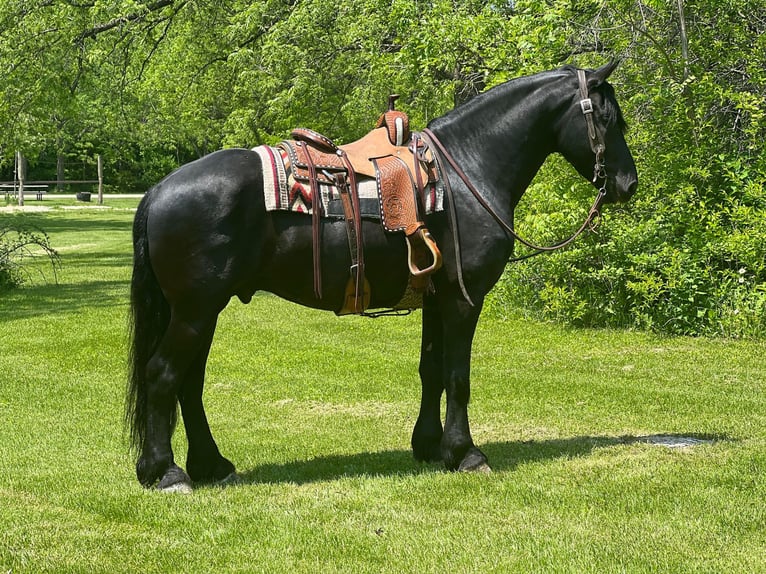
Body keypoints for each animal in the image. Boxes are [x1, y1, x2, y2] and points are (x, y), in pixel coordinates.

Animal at [129, 64, 640, 496]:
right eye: (609, 118)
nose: (628, 184)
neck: (467, 171)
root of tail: (158, 189)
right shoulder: (463, 298)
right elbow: (458, 376)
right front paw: (465, 453)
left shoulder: (436, 296)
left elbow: (431, 370)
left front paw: (430, 445)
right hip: (195, 311)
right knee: (163, 375)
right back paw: (167, 472)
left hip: (201, 311)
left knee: (189, 384)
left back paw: (210, 465)